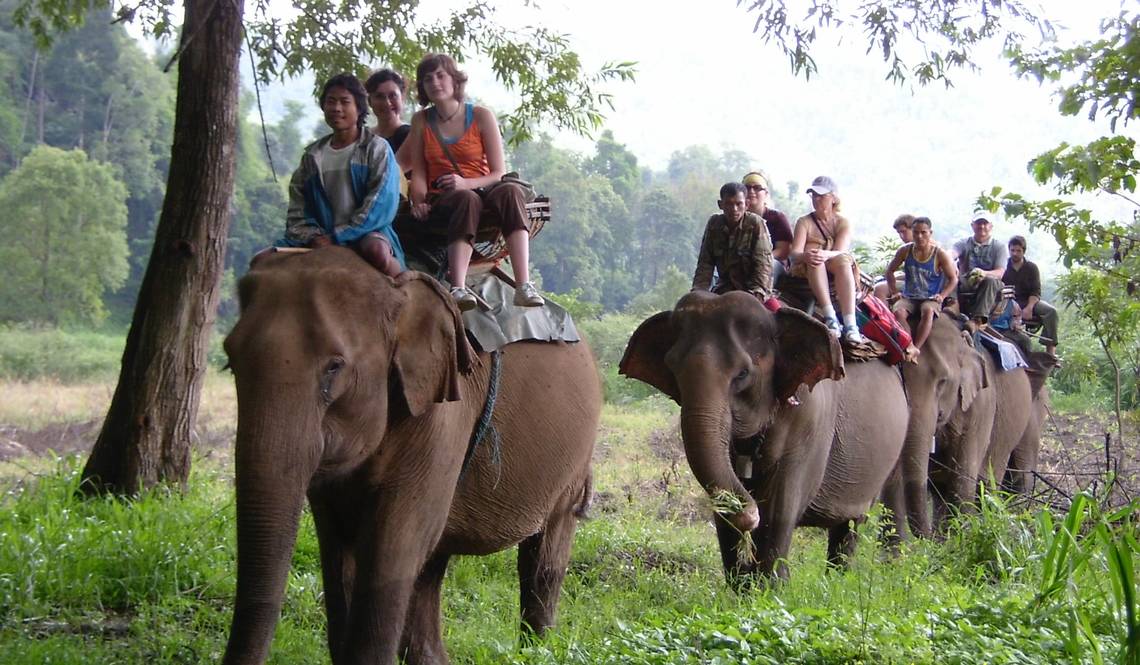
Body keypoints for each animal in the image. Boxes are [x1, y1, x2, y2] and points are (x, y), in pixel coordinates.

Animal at [216, 248, 601, 665]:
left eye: (334, 368)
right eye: (230, 361)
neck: (398, 290)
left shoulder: (444, 411)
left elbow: (392, 546)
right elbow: (338, 551)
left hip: (574, 462)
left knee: (543, 558)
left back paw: (536, 649)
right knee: (431, 568)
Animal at [624, 292, 907, 584]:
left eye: (742, 373)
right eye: (672, 369)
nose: (750, 514)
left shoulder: (810, 420)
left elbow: (778, 510)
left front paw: (772, 587)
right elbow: (723, 509)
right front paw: (743, 585)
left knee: (852, 525)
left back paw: (838, 580)